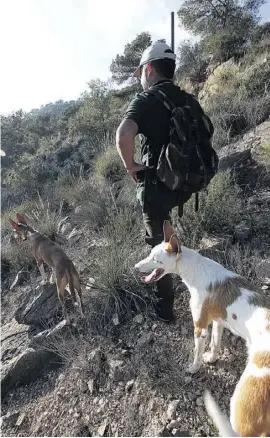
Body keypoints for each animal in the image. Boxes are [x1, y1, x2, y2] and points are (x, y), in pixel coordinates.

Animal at [136, 222, 270, 438]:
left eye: (156, 259)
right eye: (150, 254)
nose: (135, 267)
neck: (197, 270)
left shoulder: (199, 327)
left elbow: (197, 353)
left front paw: (194, 368)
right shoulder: (218, 322)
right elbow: (215, 345)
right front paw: (212, 359)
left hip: (242, 410)